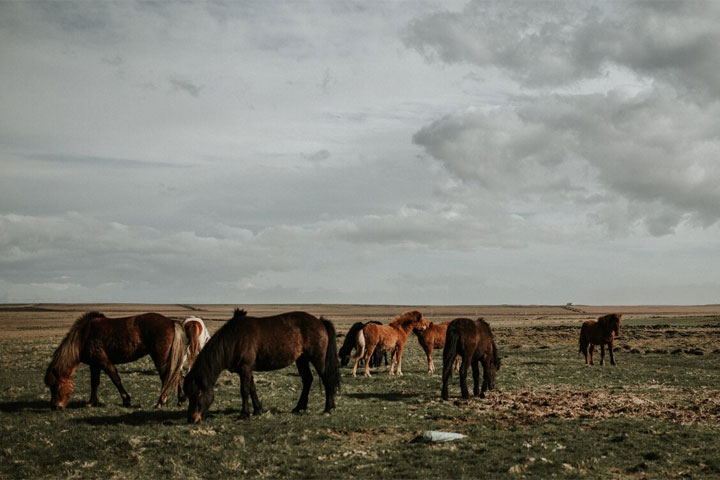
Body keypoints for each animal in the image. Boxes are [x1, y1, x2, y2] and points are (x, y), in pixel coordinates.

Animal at [43, 314, 187, 410]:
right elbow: (94, 383)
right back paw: (180, 401)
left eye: (55, 386)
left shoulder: (104, 362)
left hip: (161, 358)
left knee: (167, 378)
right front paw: (91, 402)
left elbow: (115, 379)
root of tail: (171, 322)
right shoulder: (95, 365)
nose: (55, 407)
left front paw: (126, 400)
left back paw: (160, 402)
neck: (84, 336)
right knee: (178, 376)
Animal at [183, 308, 340, 424]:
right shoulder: (246, 370)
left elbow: (244, 391)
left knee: (326, 379)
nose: (192, 419)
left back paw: (327, 408)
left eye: (198, 393)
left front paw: (244, 414)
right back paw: (299, 407)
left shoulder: (245, 368)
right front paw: (257, 410)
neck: (234, 339)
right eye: (188, 394)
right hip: (301, 359)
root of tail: (320, 322)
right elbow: (252, 389)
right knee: (307, 379)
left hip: (318, 358)